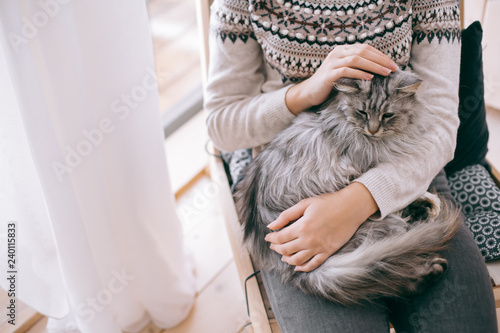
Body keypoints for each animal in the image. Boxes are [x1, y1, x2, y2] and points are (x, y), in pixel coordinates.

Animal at [234, 70, 460, 304]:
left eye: (387, 115)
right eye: (362, 112)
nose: (373, 130)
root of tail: (292, 268)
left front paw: (427, 200)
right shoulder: (365, 163)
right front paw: (426, 201)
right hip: (376, 229)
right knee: (388, 267)